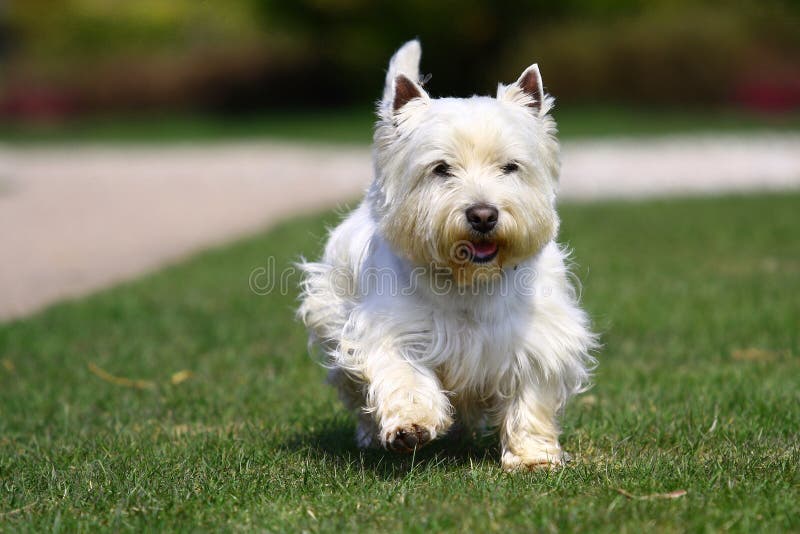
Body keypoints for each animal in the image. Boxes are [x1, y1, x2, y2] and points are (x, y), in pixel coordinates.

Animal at [296, 39, 596, 472]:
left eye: (510, 166)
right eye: (441, 168)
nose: (483, 215)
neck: (468, 281)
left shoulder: (538, 338)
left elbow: (531, 396)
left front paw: (533, 456)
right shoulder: (390, 330)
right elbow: (404, 376)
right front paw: (410, 426)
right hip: (332, 315)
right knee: (354, 389)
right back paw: (370, 436)